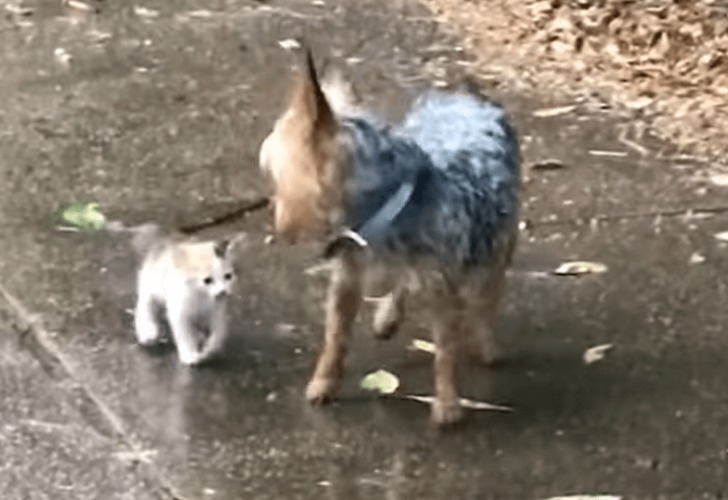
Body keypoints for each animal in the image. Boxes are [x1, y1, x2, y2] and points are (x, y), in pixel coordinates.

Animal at [258, 49, 520, 426]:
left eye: (277, 174)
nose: (275, 216)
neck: (383, 211)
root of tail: (466, 94)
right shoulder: (348, 276)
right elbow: (335, 336)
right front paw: (324, 382)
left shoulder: (443, 283)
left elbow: (446, 349)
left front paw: (447, 403)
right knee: (405, 283)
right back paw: (388, 317)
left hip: (499, 237)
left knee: (488, 291)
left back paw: (487, 343)